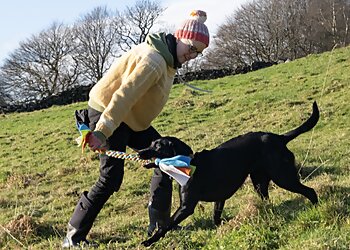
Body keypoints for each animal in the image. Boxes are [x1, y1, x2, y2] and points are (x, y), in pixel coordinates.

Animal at [138, 101, 318, 246]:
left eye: (158, 146)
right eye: (150, 143)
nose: (140, 152)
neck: (188, 163)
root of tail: (279, 138)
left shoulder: (186, 207)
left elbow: (166, 226)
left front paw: (149, 241)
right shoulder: (219, 199)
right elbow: (216, 218)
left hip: (283, 177)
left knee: (310, 191)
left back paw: (317, 208)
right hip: (259, 182)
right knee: (268, 200)